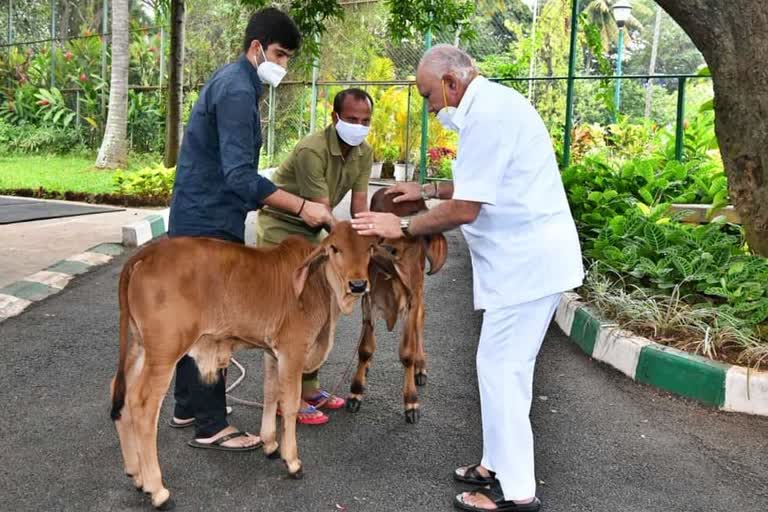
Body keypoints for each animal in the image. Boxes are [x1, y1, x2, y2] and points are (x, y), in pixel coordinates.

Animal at [109, 222, 388, 510]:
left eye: (369, 248)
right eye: (334, 248)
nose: (358, 284)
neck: (318, 284)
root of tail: (145, 255)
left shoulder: (272, 353)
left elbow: (270, 394)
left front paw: (270, 444)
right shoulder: (292, 351)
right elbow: (289, 404)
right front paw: (292, 461)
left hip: (139, 346)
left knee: (120, 393)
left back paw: (136, 474)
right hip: (164, 352)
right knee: (142, 405)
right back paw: (157, 490)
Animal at [344, 188, 448, 424]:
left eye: (412, 239)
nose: (381, 250)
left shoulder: (411, 302)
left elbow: (407, 353)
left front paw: (411, 401)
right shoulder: (369, 301)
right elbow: (365, 349)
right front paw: (356, 391)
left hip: (418, 292)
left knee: (420, 321)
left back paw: (420, 366)